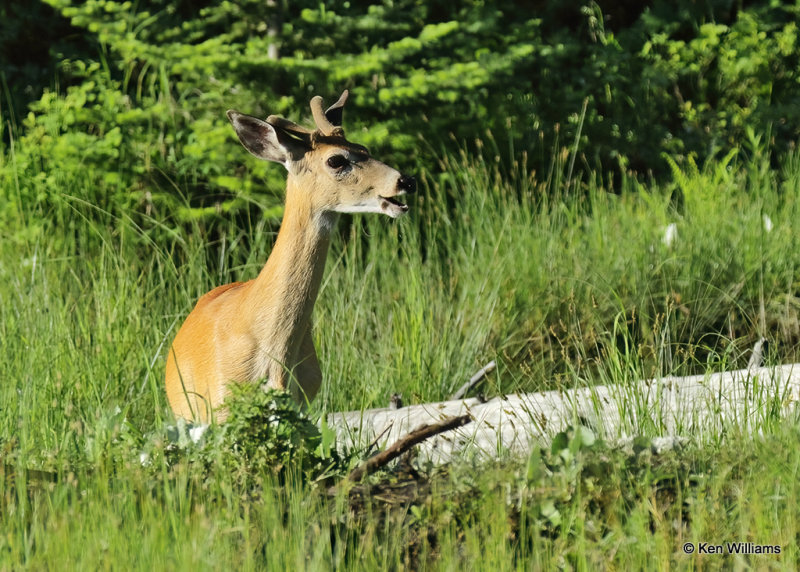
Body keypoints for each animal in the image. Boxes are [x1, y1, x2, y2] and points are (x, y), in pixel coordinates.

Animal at [166, 89, 418, 420]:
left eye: (365, 149)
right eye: (336, 160)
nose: (406, 181)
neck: (275, 357)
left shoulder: (302, 405)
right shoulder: (220, 406)